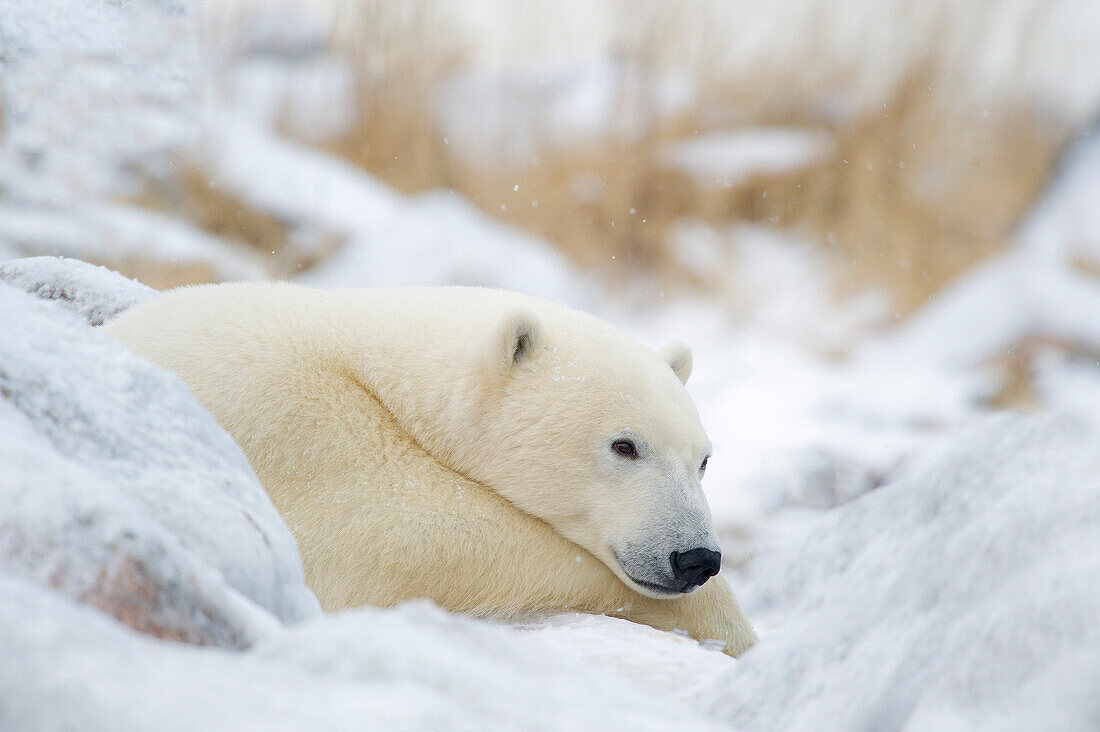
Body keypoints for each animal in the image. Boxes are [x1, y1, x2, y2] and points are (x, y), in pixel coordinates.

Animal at [105, 281, 756, 651]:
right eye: (626, 446)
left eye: (702, 460)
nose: (696, 558)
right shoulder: (292, 420)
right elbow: (399, 538)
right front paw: (730, 629)